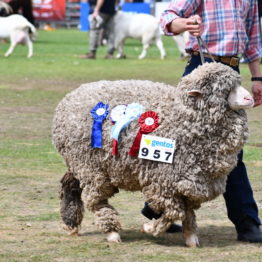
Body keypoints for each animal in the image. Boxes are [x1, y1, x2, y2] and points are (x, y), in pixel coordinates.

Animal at [52, 62, 254, 247]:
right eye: (224, 89)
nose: (250, 98)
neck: (183, 116)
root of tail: (70, 98)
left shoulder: (190, 181)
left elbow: (187, 212)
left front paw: (190, 237)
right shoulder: (163, 181)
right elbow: (174, 212)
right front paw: (150, 228)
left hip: (81, 163)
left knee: (70, 183)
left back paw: (71, 223)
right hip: (91, 167)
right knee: (96, 199)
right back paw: (111, 233)